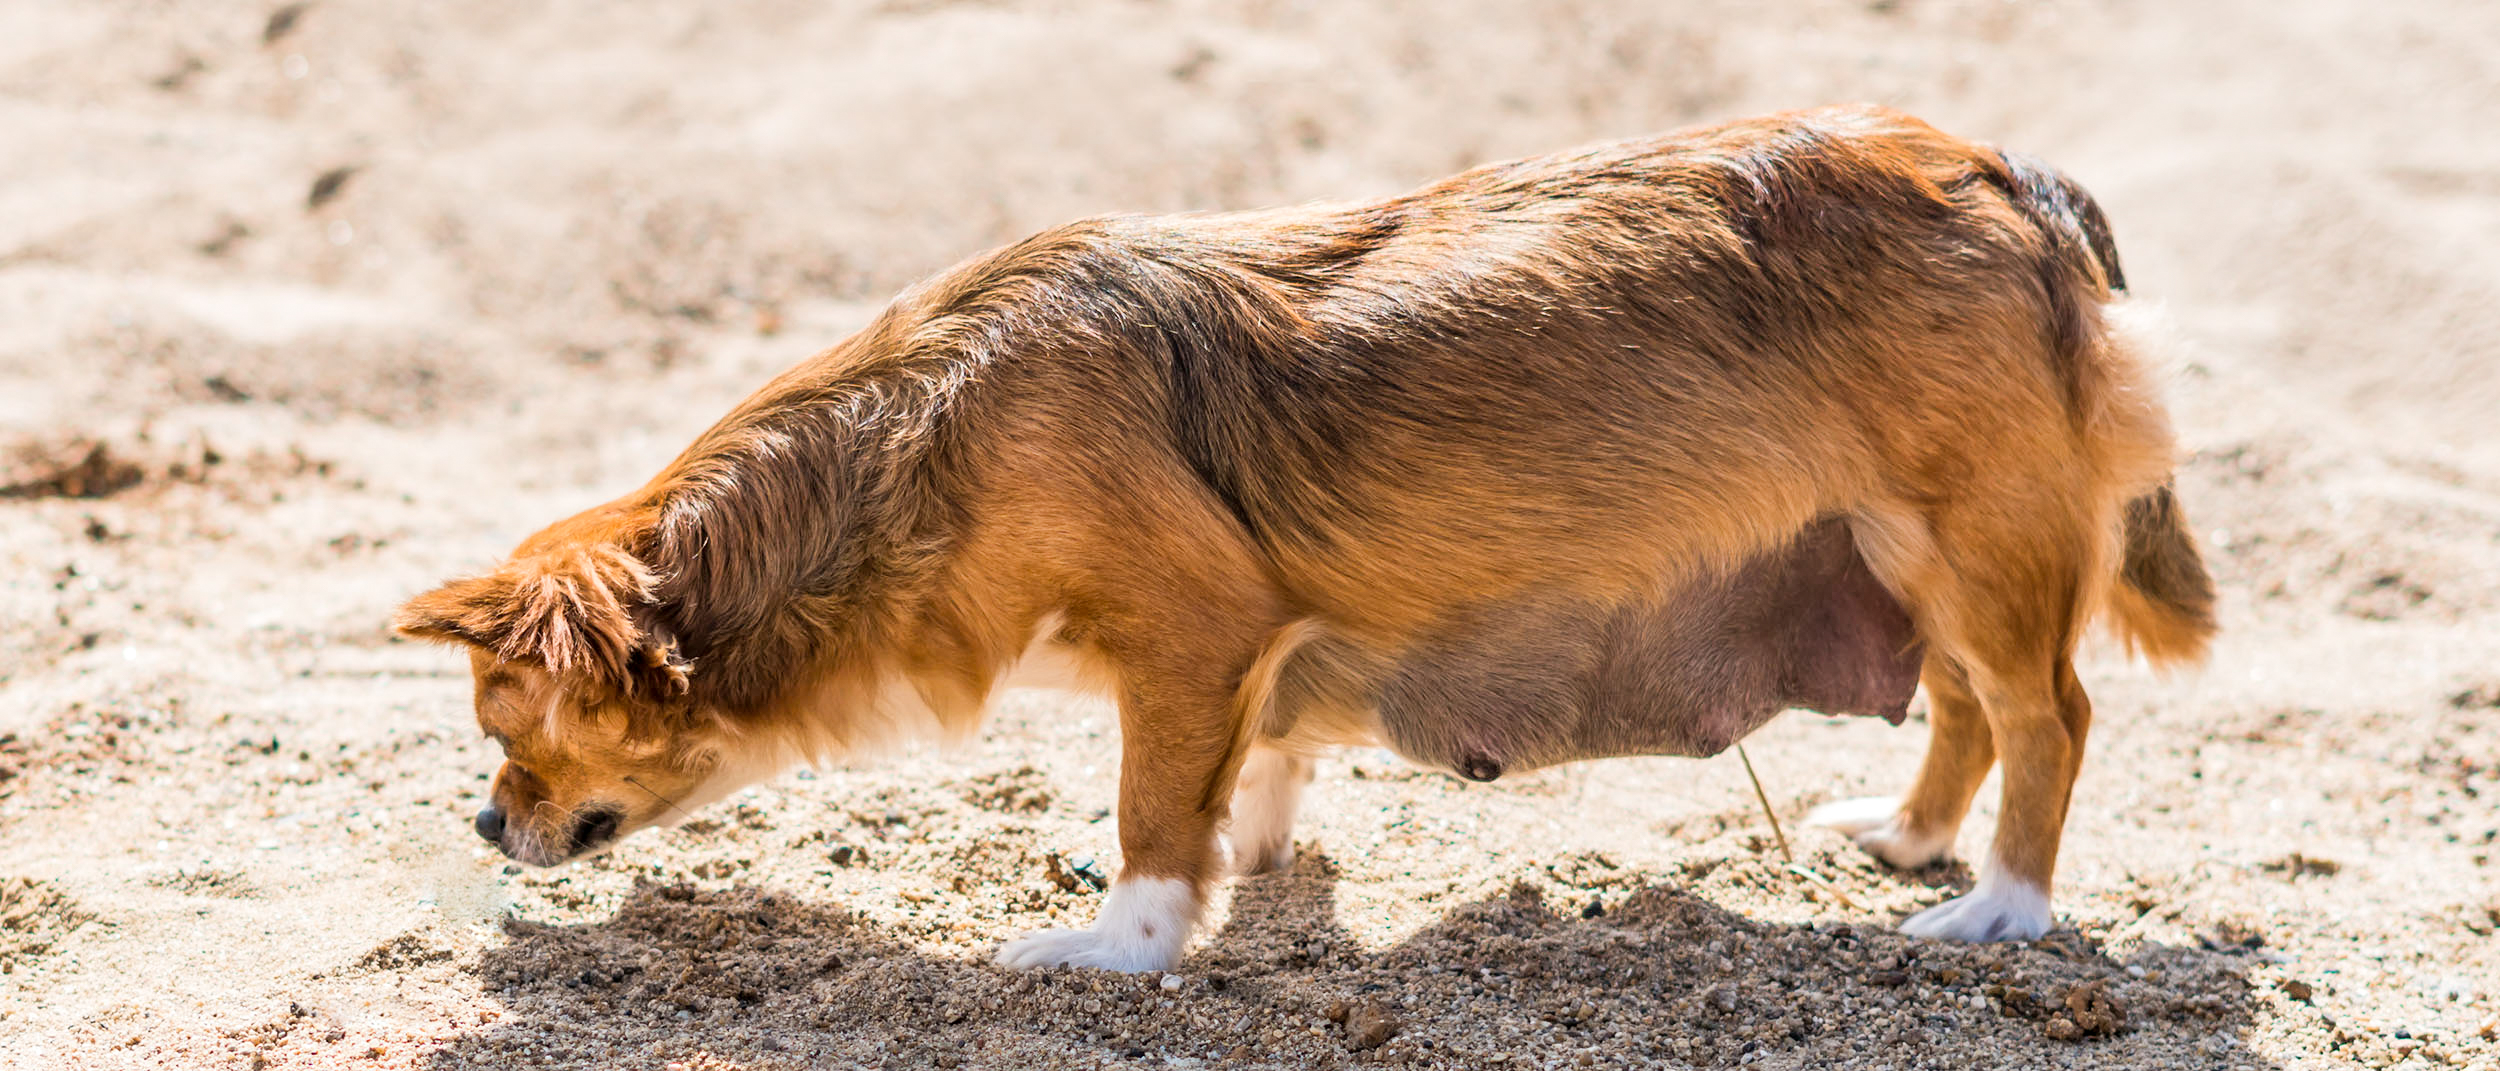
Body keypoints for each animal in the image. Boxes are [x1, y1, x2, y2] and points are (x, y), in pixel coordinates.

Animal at [400, 106, 2220, 970]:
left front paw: (1122, 944)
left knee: (2050, 713)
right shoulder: (1254, 646)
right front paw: (1256, 860)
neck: (934, 438)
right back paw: (1913, 842)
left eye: (511, 733)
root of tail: (2002, 172)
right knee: (1971, 704)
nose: (490, 827)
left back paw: (2001, 910)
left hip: (1973, 541)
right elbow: (1259, 758)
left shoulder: (1189, 633)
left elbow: (1154, 814)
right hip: (1906, 550)